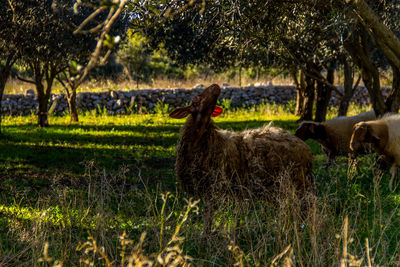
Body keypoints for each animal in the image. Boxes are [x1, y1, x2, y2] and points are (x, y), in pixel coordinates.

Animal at [169, 85, 312, 233]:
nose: (215, 85)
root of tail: (305, 147)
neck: (205, 138)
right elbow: (208, 215)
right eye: (195, 100)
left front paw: (206, 235)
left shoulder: (212, 186)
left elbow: (208, 215)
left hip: (298, 183)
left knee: (306, 208)